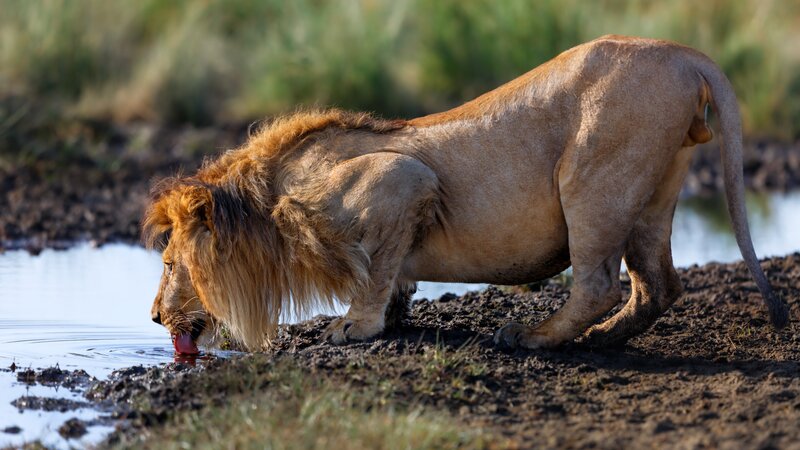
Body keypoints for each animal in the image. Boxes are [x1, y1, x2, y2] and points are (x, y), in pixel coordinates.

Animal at [142, 35, 788, 354]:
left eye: (170, 263)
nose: (151, 317)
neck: (265, 201)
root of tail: (681, 52)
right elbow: (390, 271)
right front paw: (395, 312)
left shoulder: (400, 179)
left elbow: (372, 273)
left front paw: (356, 328)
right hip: (654, 193)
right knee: (658, 285)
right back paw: (603, 342)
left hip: (594, 177)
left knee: (599, 283)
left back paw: (533, 338)